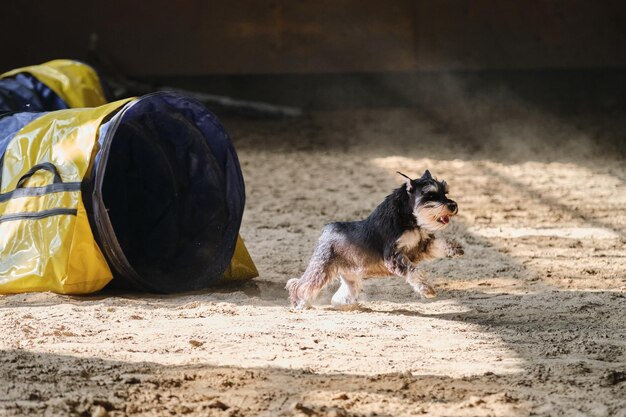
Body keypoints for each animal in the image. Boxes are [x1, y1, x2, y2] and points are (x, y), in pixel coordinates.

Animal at [286, 169, 460, 308]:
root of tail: (328, 228)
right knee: (301, 285)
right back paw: (300, 304)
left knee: (346, 292)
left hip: (350, 275)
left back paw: (346, 305)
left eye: (445, 192)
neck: (409, 220)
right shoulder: (394, 256)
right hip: (321, 269)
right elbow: (414, 271)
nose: (453, 206)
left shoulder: (421, 246)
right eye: (430, 194)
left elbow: (439, 245)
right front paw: (426, 289)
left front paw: (455, 248)